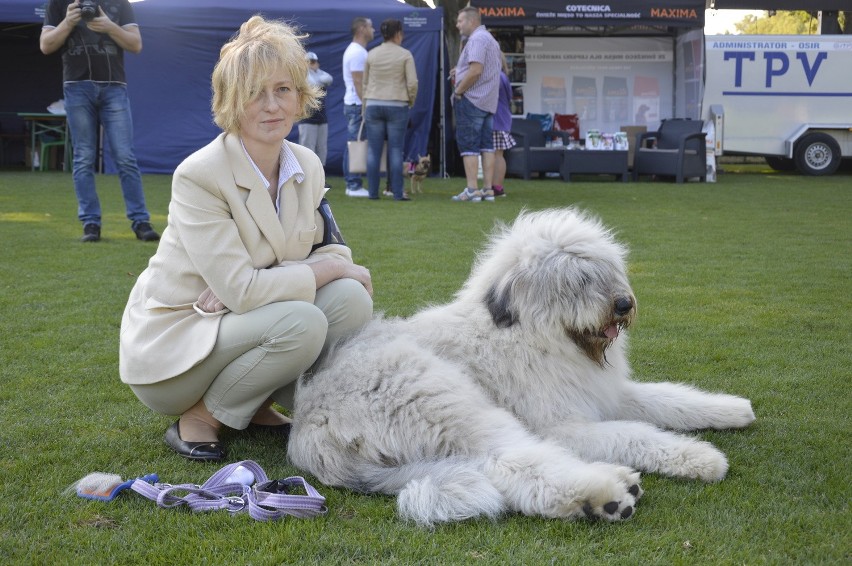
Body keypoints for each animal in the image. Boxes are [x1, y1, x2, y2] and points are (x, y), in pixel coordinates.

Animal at [290, 210, 756, 528]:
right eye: (575, 280)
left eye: (605, 270)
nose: (623, 304)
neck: (531, 334)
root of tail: (311, 429)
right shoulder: (561, 425)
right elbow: (634, 433)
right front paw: (701, 456)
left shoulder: (607, 391)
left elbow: (668, 399)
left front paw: (731, 409)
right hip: (449, 403)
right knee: (512, 463)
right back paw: (602, 496)